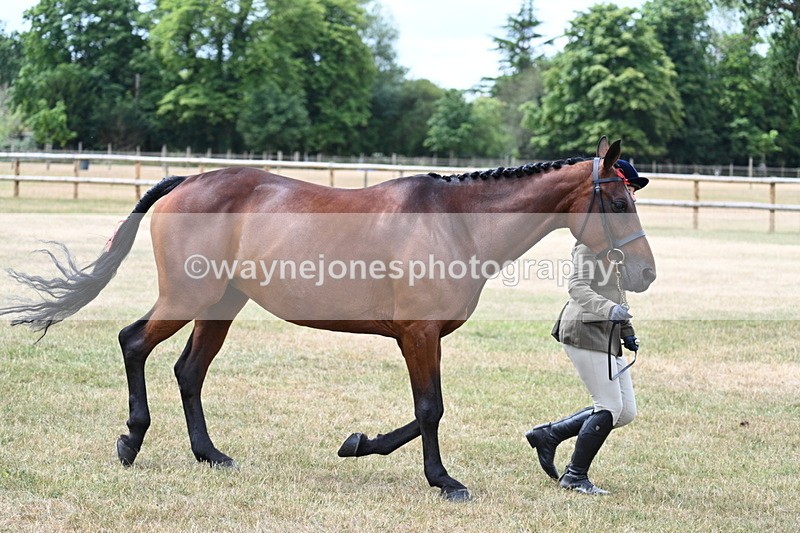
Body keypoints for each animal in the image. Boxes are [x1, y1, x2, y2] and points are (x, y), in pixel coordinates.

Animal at [1, 137, 655, 501]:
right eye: (616, 200)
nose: (645, 273)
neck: (455, 223)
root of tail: (188, 180)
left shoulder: (421, 337)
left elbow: (420, 414)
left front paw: (359, 443)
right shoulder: (419, 336)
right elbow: (431, 409)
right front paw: (443, 482)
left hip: (221, 305)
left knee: (189, 372)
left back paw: (210, 454)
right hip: (189, 296)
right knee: (134, 342)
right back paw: (131, 440)